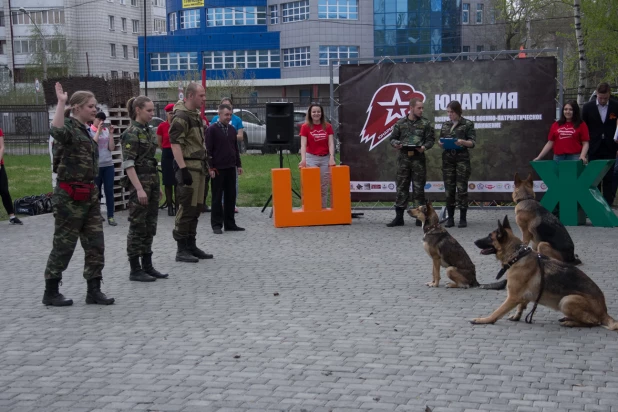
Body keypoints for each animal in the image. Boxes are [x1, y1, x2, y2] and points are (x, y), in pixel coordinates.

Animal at [470, 214, 612, 330]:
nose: (474, 241)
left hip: (567, 300)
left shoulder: (512, 297)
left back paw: (570, 322)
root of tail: (604, 311)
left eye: (489, 237)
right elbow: (521, 305)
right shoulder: (523, 295)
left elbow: (497, 311)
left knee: (593, 322)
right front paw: (516, 316)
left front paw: (485, 320)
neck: (517, 256)